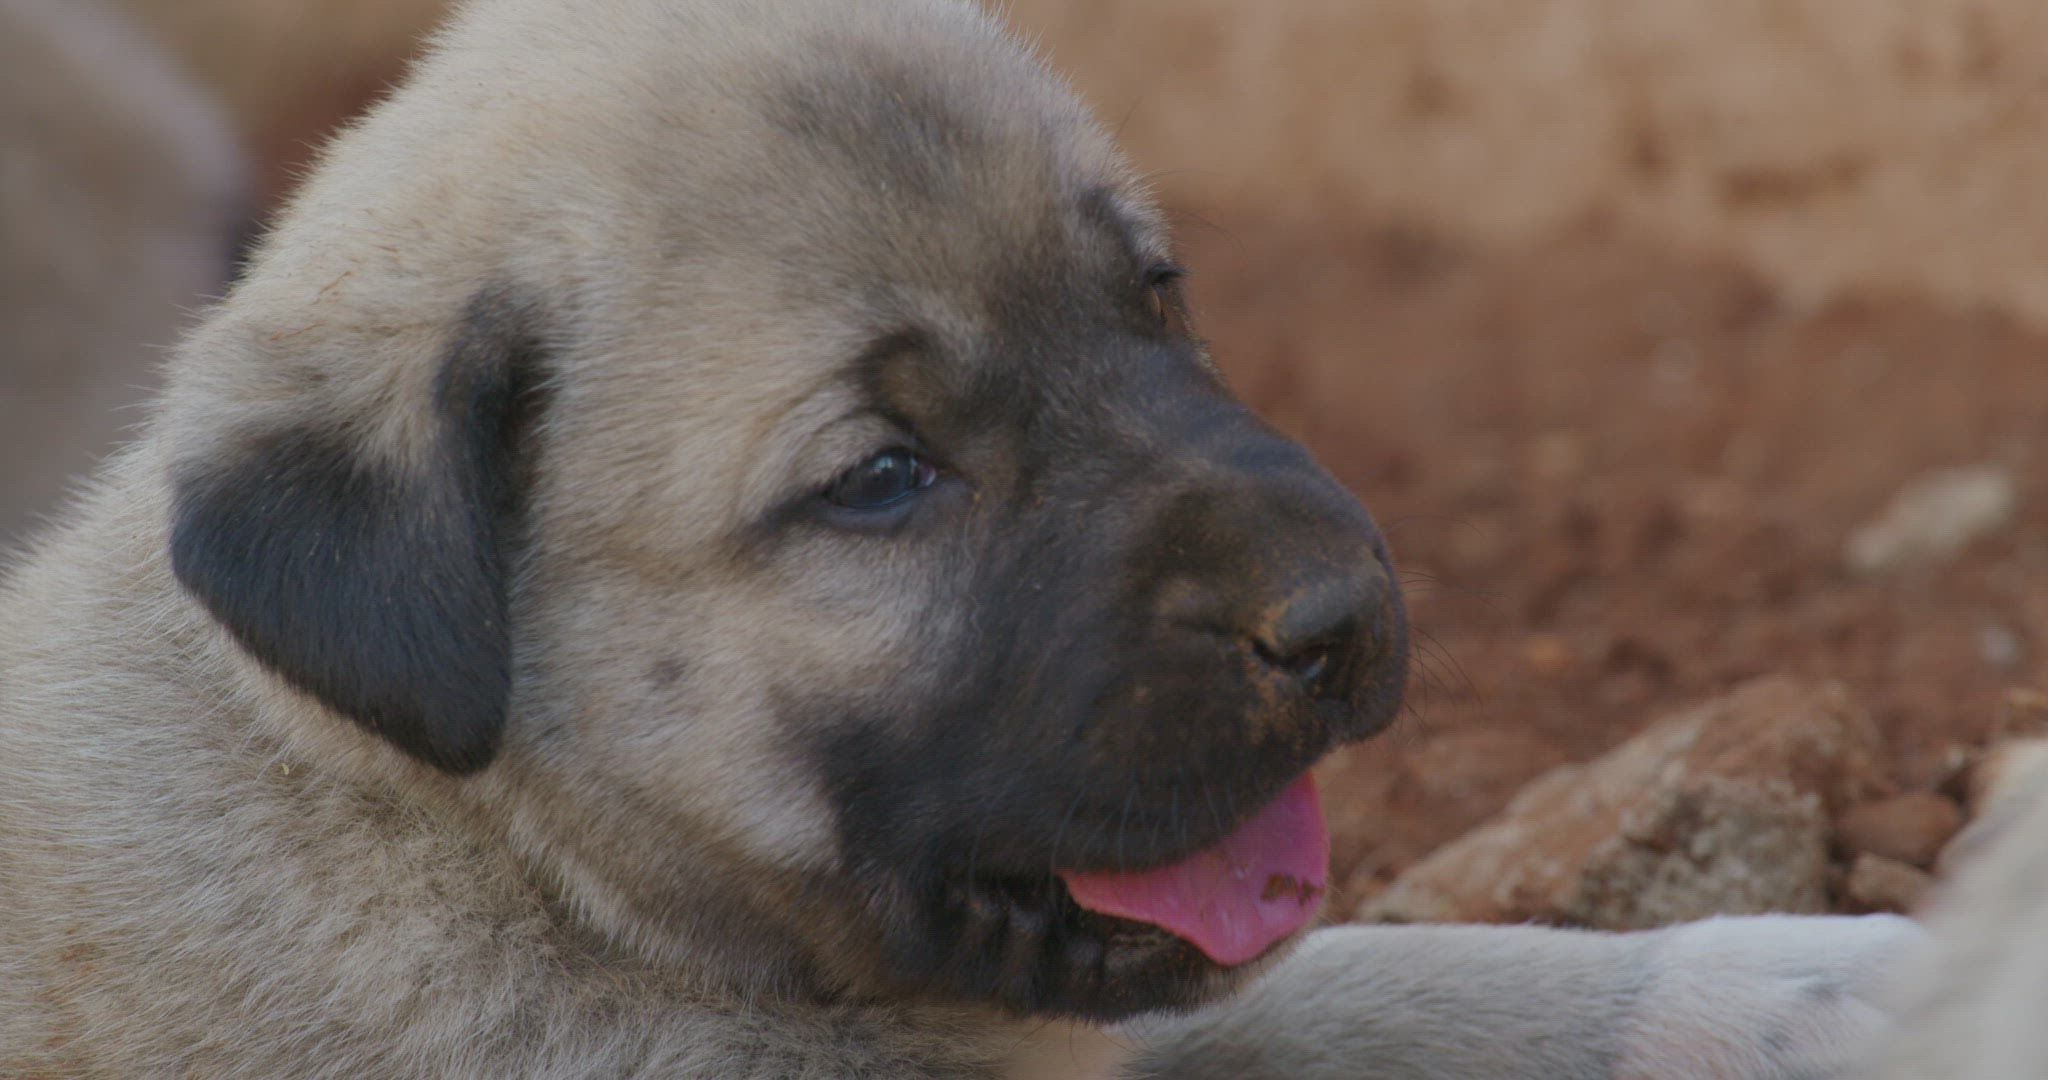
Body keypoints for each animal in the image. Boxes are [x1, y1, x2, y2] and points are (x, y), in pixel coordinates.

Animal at [0, 0, 1918, 1076]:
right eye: (880, 481)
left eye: (1157, 298)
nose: (1339, 616)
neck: (505, 865)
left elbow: (1387, 980)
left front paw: (1810, 980)